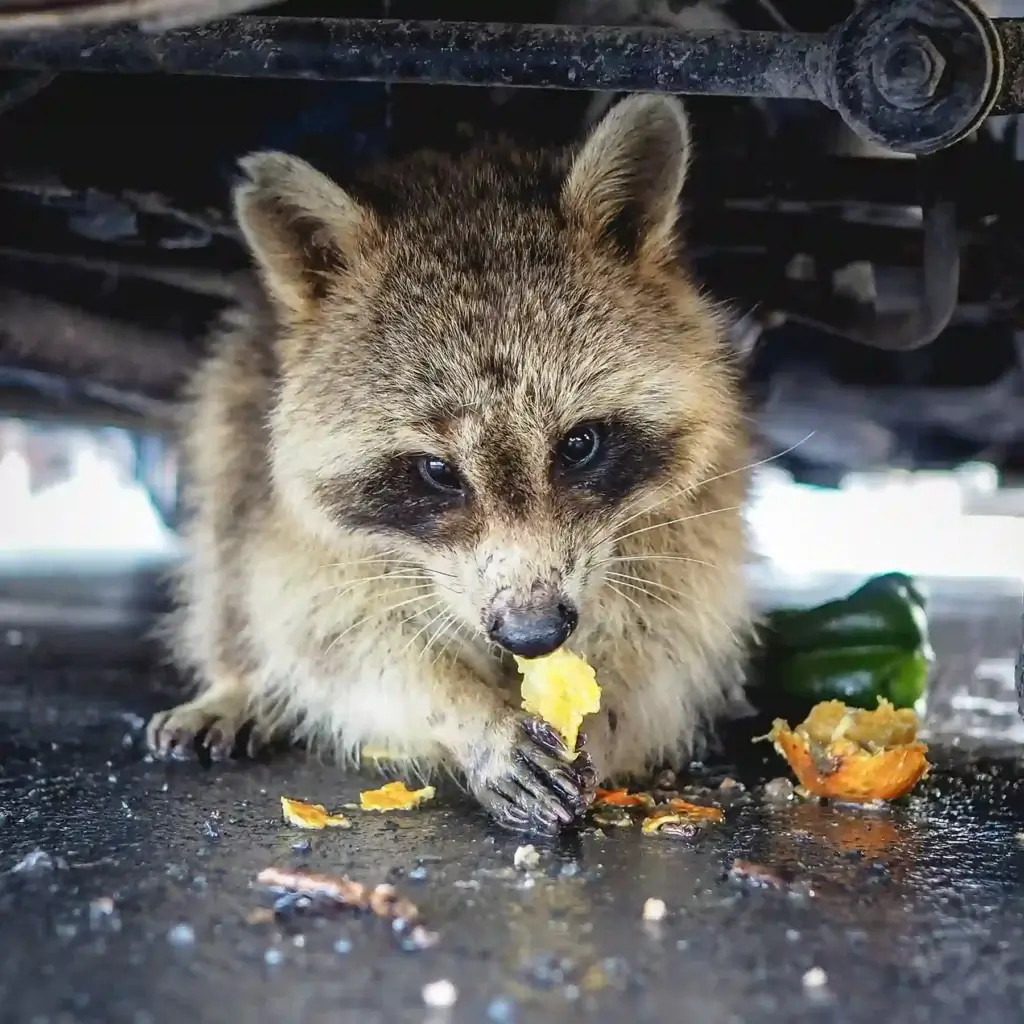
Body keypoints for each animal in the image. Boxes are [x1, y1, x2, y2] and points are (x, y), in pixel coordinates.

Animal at [146, 94, 753, 831]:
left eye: (579, 444)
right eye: (437, 472)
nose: (533, 632)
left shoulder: (695, 513)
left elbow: (670, 632)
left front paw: (606, 711)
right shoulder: (303, 532)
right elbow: (337, 640)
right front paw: (466, 714)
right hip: (236, 399)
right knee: (226, 550)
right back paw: (239, 681)